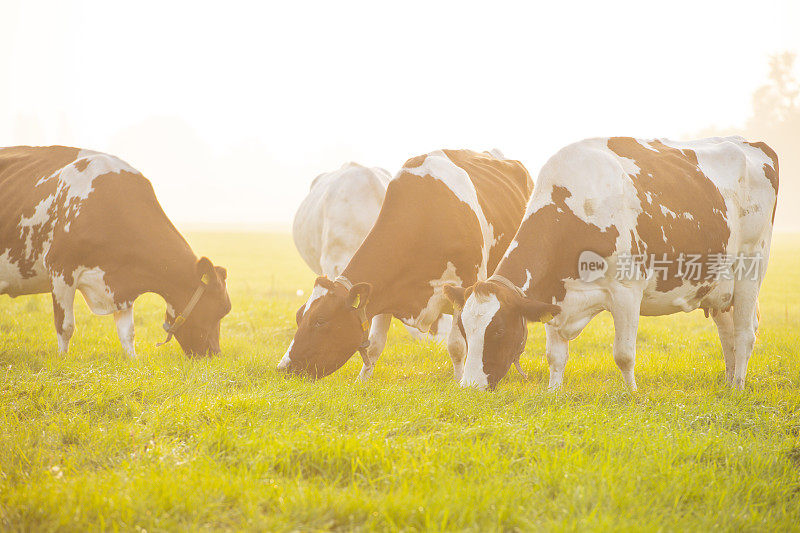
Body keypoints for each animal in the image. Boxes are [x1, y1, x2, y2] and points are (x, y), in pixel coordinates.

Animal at [0, 144, 231, 358]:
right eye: (221, 309)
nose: (214, 354)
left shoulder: (123, 283)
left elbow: (127, 332)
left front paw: (132, 361)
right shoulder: (60, 269)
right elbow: (65, 326)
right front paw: (62, 359)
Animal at [450, 135, 780, 388]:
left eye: (498, 331)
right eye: (464, 330)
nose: (469, 388)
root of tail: (749, 143)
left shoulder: (626, 291)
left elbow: (624, 354)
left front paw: (632, 395)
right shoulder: (555, 296)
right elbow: (555, 356)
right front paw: (553, 393)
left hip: (751, 267)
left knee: (745, 334)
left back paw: (738, 388)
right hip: (719, 286)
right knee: (728, 335)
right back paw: (728, 382)